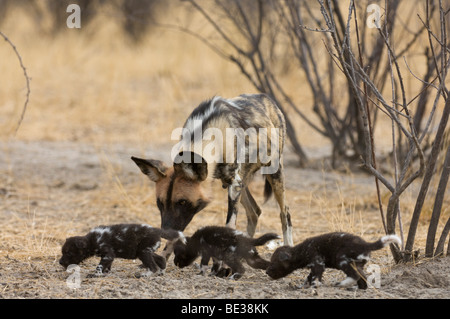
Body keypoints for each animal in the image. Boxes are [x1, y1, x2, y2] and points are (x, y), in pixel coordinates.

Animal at [131, 93, 292, 248]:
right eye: (160, 202)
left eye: (182, 202)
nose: (165, 233)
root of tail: (266, 98)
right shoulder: (234, 183)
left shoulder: (234, 185)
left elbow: (229, 225)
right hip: (242, 182)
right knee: (255, 212)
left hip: (273, 175)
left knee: (285, 214)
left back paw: (287, 246)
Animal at [264, 232, 400, 290]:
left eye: (273, 263)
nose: (266, 272)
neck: (301, 251)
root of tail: (365, 244)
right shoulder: (314, 266)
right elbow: (308, 277)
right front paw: (302, 286)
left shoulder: (318, 263)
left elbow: (315, 278)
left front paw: (314, 287)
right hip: (357, 264)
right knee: (363, 277)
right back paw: (358, 288)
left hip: (342, 259)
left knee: (354, 275)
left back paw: (342, 284)